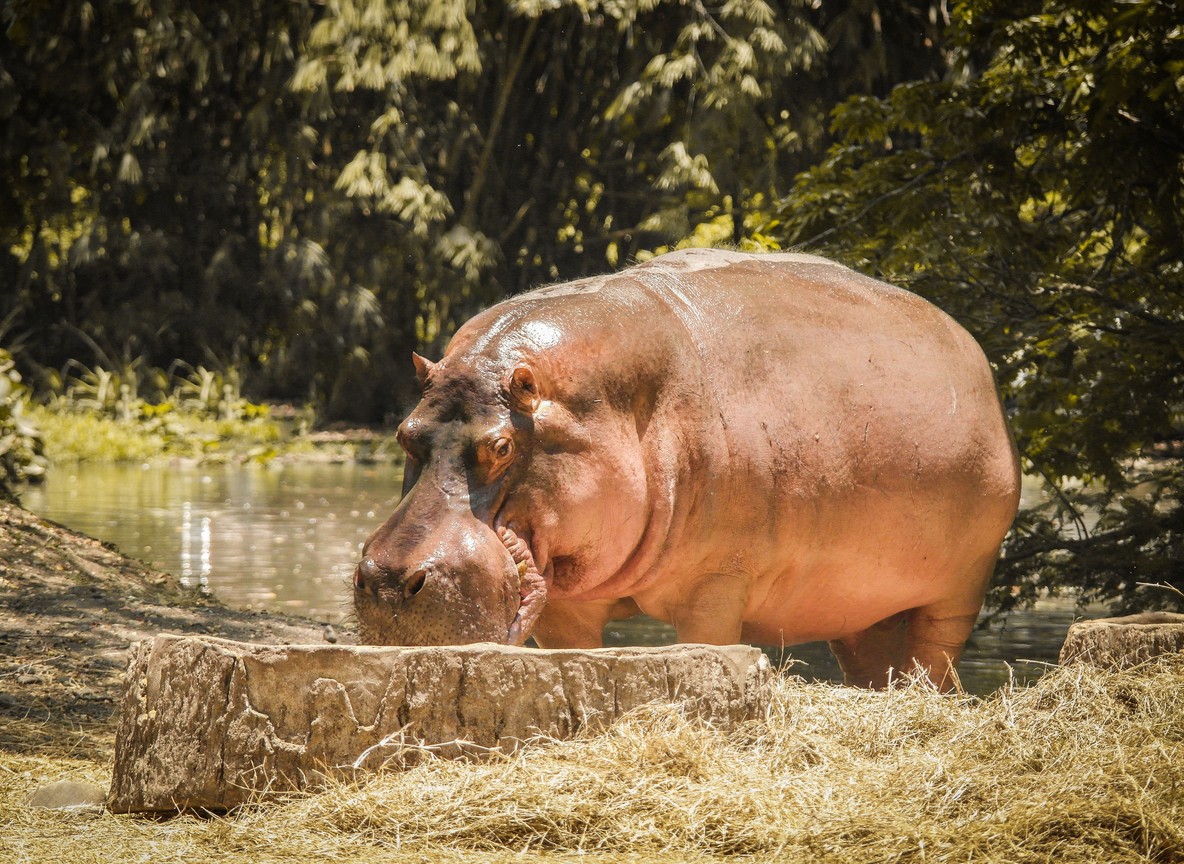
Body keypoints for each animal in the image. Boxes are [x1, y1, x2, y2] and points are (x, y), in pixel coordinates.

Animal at [353, 249, 1021, 689]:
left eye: (501, 446)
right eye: (404, 434)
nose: (387, 580)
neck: (629, 402)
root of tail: (971, 347)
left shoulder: (718, 584)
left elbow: (706, 643)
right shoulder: (564, 601)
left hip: (960, 587)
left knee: (935, 655)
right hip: (862, 605)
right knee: (873, 656)